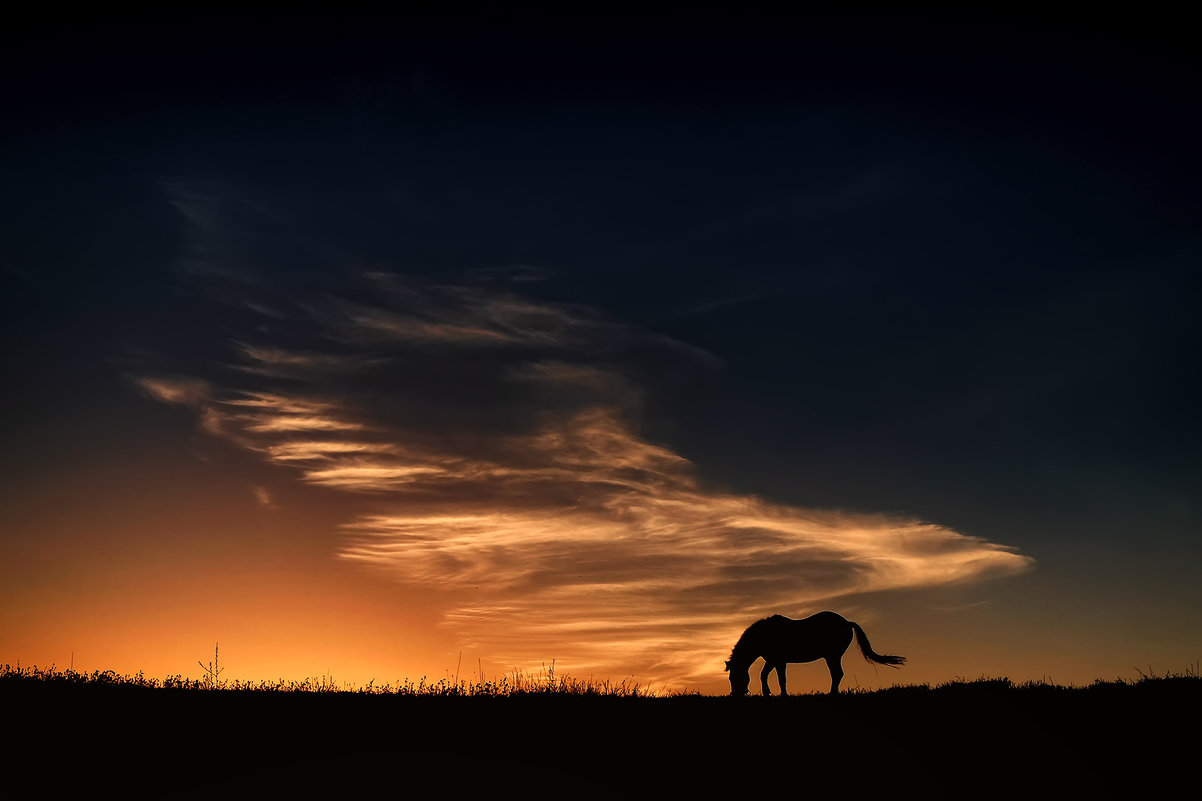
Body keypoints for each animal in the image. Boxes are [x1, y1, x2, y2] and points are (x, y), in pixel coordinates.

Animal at [721, 610, 903, 692]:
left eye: (734, 677)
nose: (735, 694)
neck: (764, 635)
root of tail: (846, 622)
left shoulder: (778, 661)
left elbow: (780, 679)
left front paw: (782, 695)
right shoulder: (773, 660)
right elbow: (764, 675)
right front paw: (768, 694)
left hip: (832, 656)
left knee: (837, 674)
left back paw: (832, 694)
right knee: (837, 674)